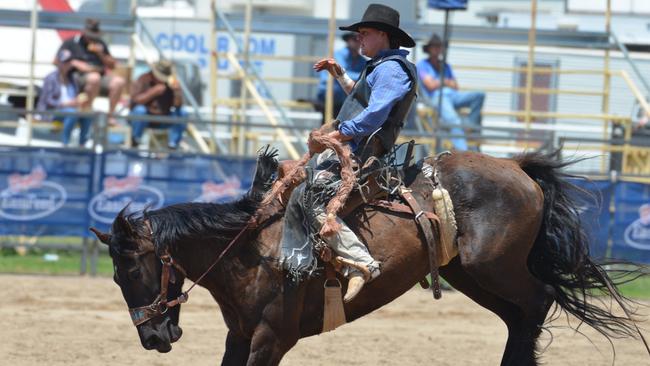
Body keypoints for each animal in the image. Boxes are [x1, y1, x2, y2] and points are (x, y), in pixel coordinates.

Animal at [90, 149, 644, 366]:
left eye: (133, 268)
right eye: (114, 279)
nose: (153, 337)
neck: (251, 252)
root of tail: (518, 167)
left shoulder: (270, 339)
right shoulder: (240, 335)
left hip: (496, 268)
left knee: (539, 299)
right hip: (471, 275)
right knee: (520, 315)